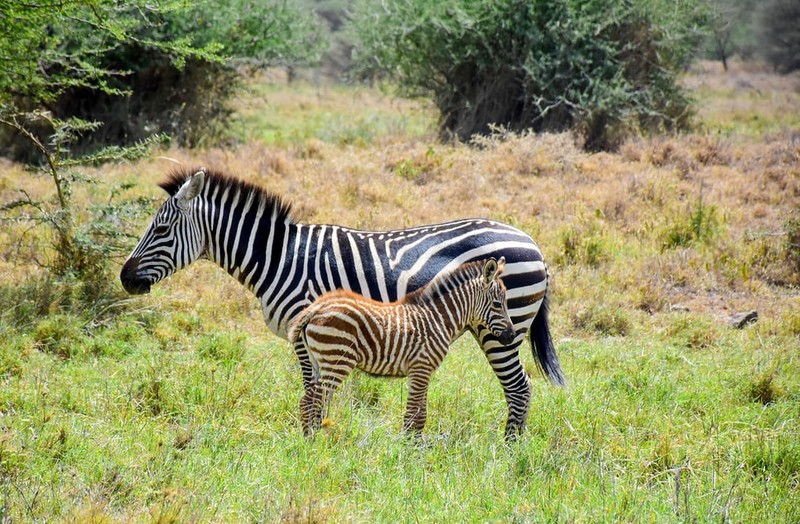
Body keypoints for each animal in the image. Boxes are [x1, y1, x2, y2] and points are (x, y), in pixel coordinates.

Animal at [290, 256, 516, 434]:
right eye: (498, 304)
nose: (512, 336)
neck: (439, 319)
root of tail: (316, 308)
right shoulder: (421, 368)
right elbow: (415, 416)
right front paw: (410, 453)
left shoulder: (423, 371)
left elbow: (419, 414)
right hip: (336, 362)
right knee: (309, 402)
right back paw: (311, 444)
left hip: (320, 363)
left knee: (311, 401)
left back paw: (312, 438)